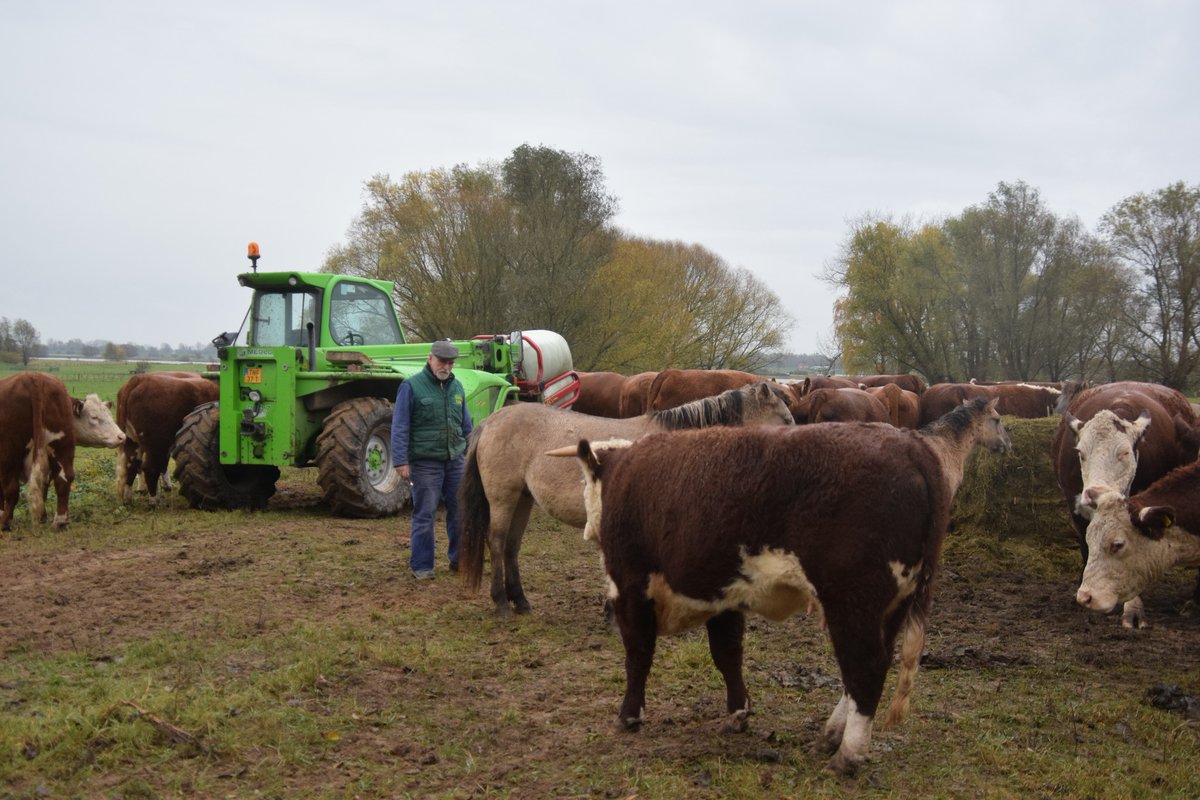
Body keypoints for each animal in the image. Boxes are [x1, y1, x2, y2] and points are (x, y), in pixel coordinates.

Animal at [459, 381, 795, 615]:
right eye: (787, 420)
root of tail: (491, 421)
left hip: (523, 499)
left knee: (512, 546)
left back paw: (521, 601)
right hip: (503, 498)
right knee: (497, 542)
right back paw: (502, 603)